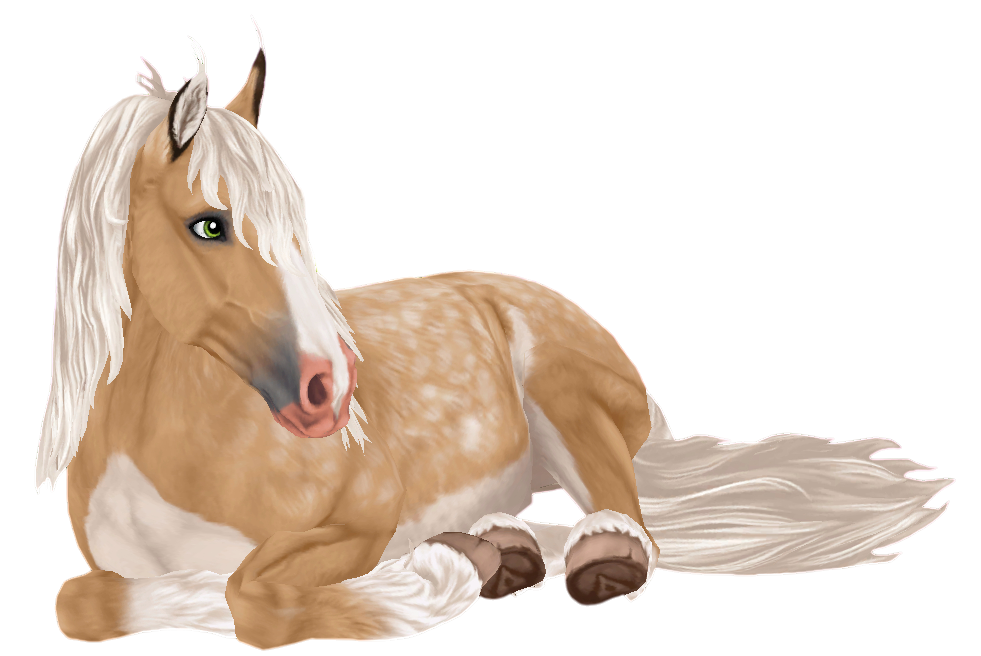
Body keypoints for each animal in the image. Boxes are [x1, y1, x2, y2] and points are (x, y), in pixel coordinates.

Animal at [37, 17, 955, 649]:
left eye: (297, 221)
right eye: (209, 225)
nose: (332, 389)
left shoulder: (361, 520)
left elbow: (252, 598)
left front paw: (431, 580)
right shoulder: (106, 570)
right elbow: (82, 602)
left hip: (567, 400)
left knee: (628, 520)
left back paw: (560, 556)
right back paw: (501, 550)